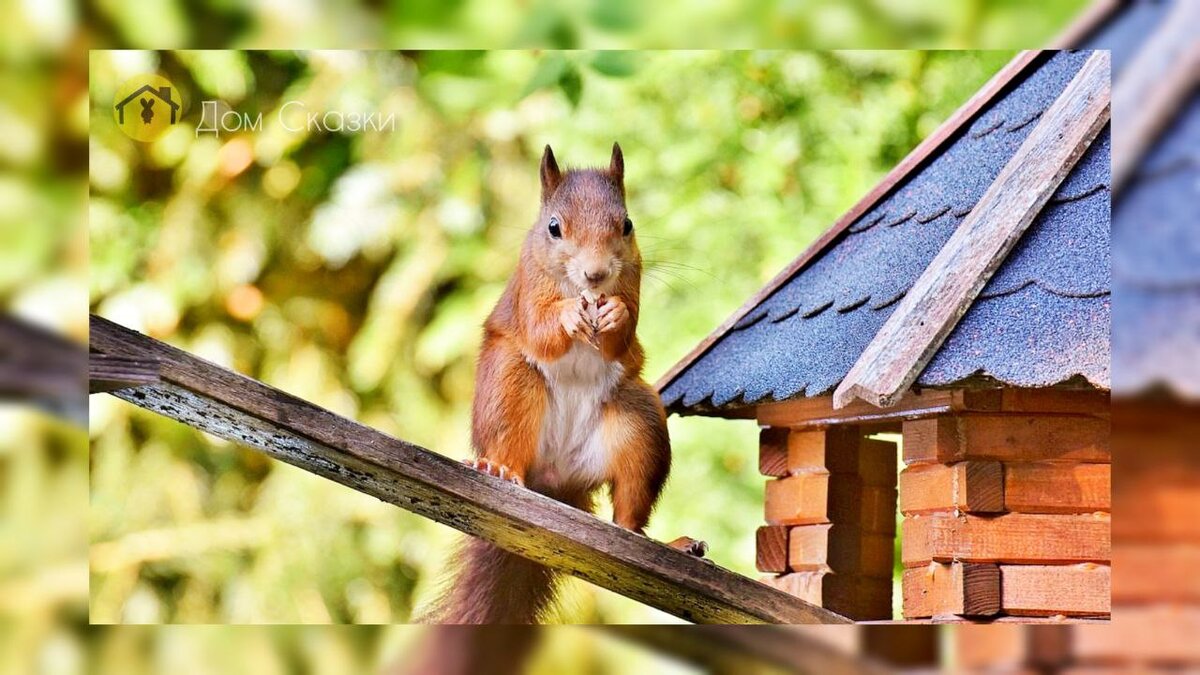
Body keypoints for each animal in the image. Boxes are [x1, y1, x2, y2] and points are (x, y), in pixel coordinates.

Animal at [427, 144, 691, 624]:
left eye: (627, 224)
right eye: (554, 228)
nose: (596, 274)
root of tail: (556, 480)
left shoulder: (634, 278)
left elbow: (624, 335)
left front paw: (615, 315)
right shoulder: (529, 286)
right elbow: (541, 329)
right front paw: (567, 315)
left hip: (640, 423)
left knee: (629, 516)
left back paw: (665, 543)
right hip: (510, 389)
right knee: (509, 444)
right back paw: (498, 469)